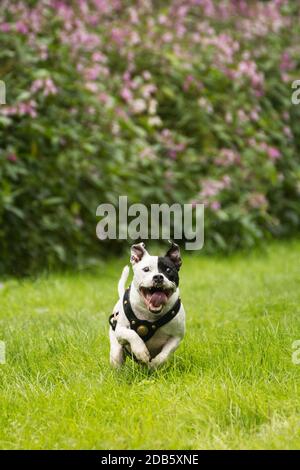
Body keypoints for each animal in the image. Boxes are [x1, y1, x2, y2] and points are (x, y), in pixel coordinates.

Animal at [109, 241, 185, 370]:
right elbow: (132, 334)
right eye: (146, 269)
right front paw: (141, 352)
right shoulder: (120, 330)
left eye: (168, 270)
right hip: (116, 352)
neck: (150, 315)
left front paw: (154, 365)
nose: (158, 277)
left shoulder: (177, 336)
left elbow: (165, 354)